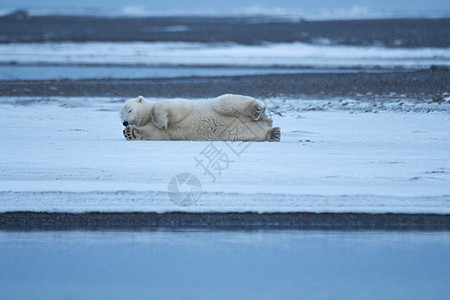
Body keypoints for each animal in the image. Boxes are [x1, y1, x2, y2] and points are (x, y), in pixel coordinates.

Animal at [120, 94, 282, 142]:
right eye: (121, 116)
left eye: (129, 109)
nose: (125, 122)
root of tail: (264, 122)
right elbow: (154, 133)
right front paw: (130, 132)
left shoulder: (182, 107)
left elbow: (171, 108)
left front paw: (161, 122)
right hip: (245, 133)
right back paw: (273, 134)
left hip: (222, 106)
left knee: (227, 102)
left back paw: (256, 109)